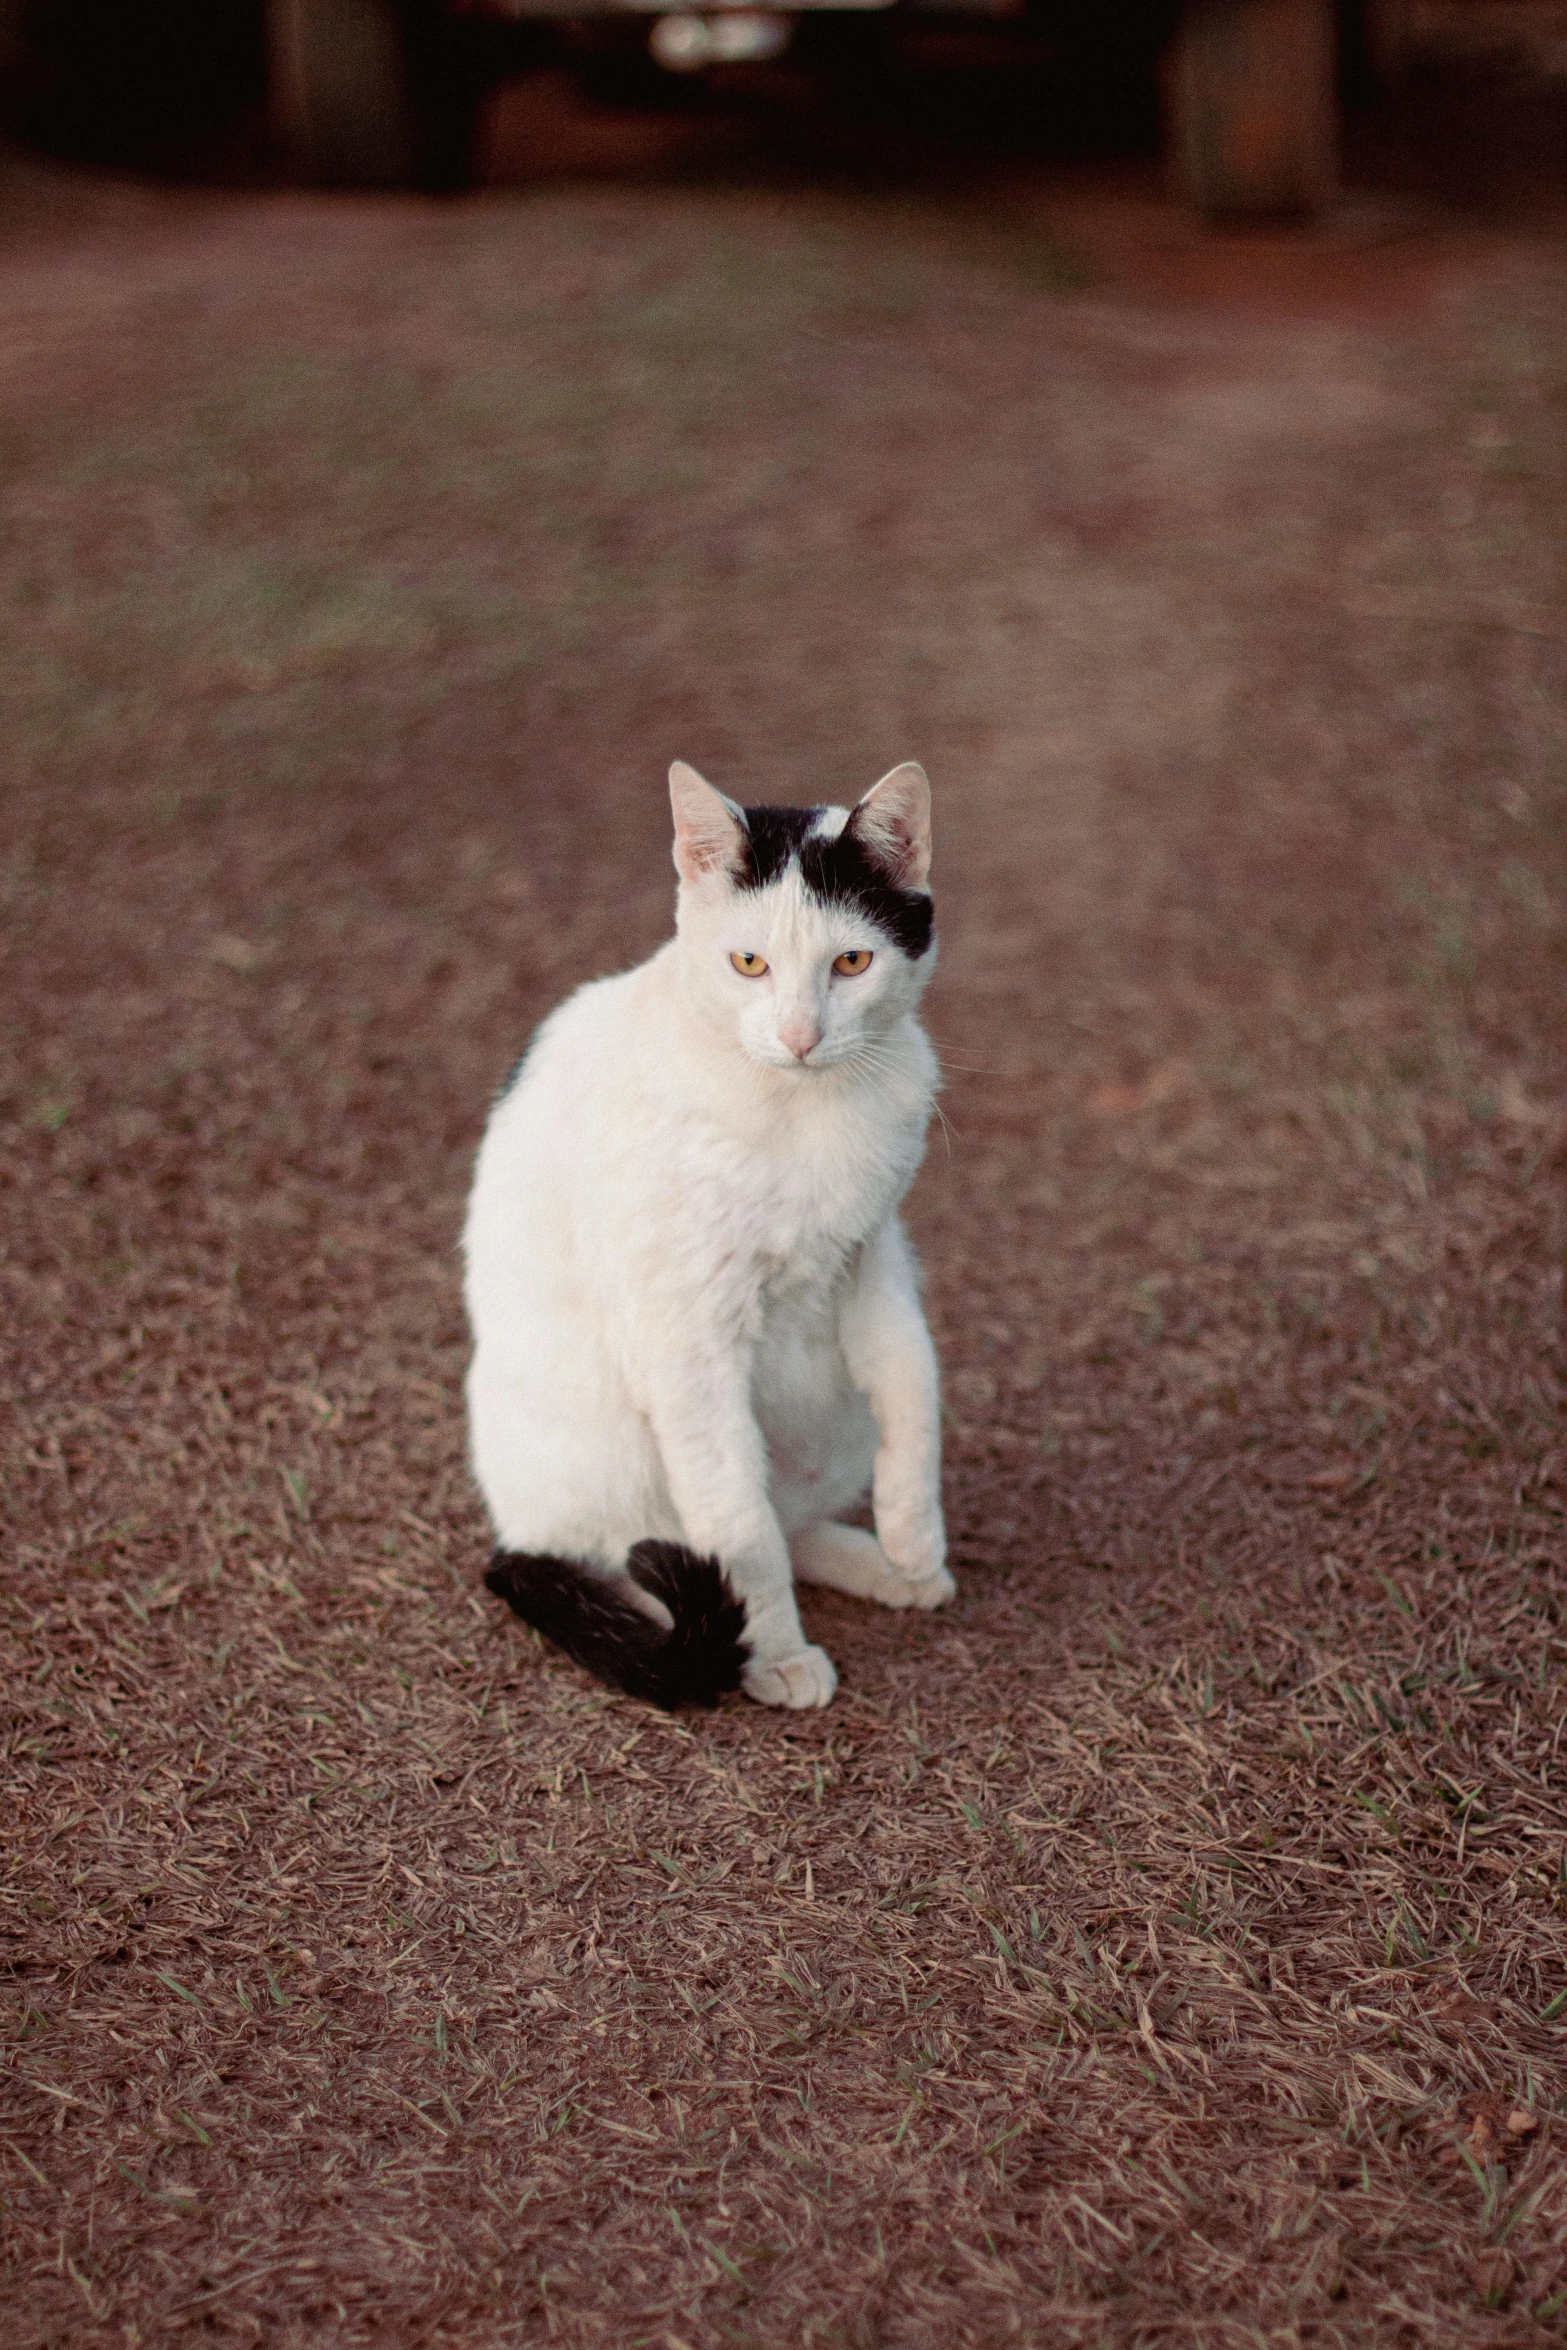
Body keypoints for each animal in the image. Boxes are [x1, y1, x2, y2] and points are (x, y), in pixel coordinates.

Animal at [462, 756, 958, 1710]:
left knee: (792, 1519)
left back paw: (886, 1566)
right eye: (748, 963)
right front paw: (775, 1655)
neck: (801, 1110)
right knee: (653, 1557)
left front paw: (915, 1531)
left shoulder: (873, 1256)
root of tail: (516, 1528)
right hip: (612, 1455)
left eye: (851, 961)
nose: (800, 1036)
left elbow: (913, 1388)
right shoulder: (689, 1339)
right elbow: (738, 1524)